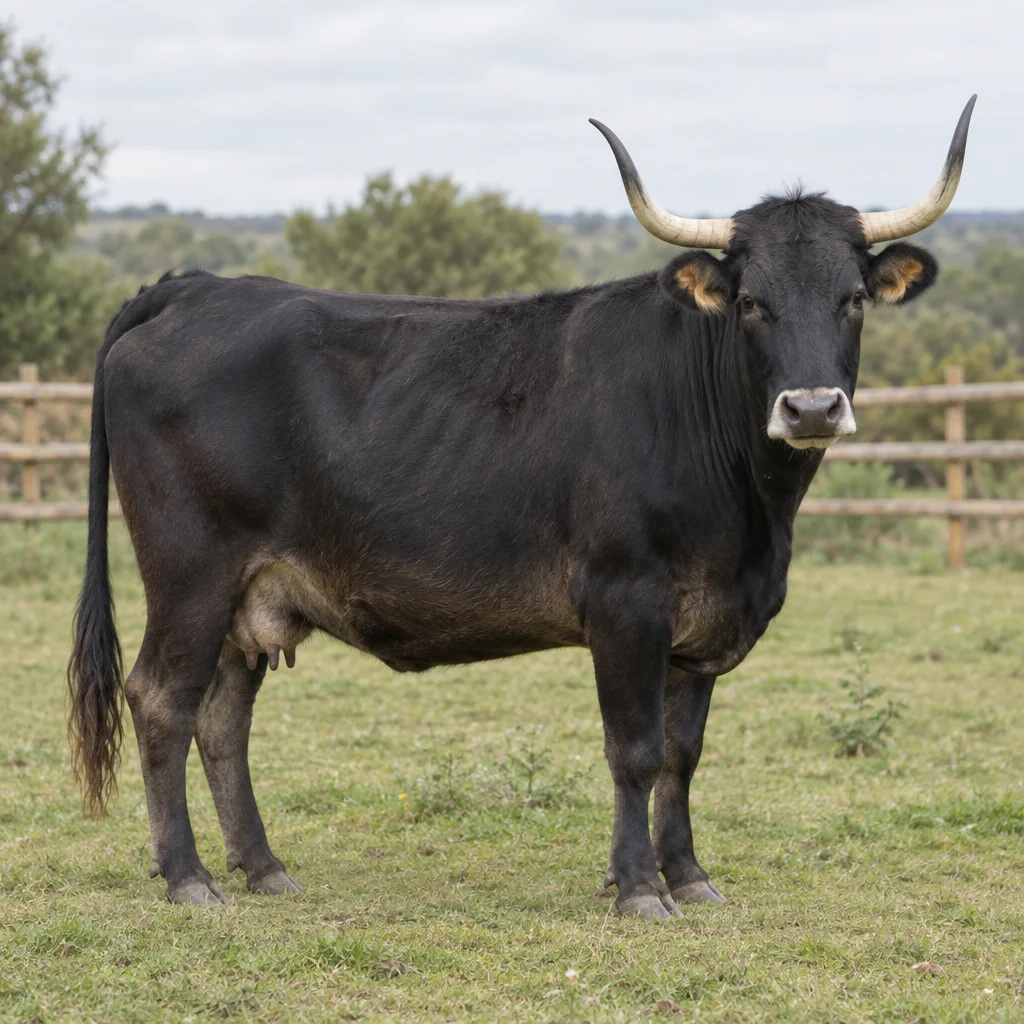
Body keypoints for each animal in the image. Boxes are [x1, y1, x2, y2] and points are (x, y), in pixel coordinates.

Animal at [68, 98, 975, 917]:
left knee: (223, 718)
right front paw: (639, 888)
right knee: (162, 700)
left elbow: (682, 754)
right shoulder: (625, 600)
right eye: (752, 301)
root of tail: (194, 289)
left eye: (853, 297)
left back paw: (262, 868)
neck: (752, 517)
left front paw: (688, 875)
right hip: (191, 575)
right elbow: (634, 749)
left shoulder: (698, 626)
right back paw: (189, 877)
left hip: (251, 594)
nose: (812, 407)